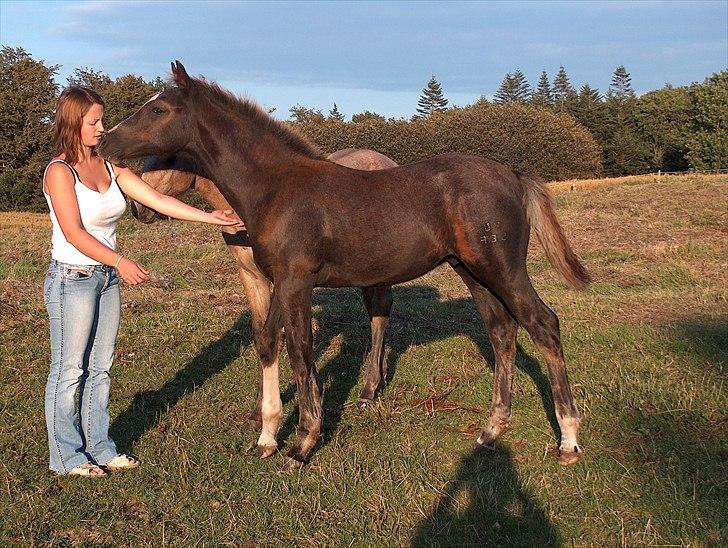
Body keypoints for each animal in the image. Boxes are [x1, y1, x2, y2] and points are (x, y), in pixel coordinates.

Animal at [136, 151, 398, 454]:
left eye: (168, 158)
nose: (137, 208)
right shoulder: (252, 277)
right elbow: (262, 335)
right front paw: (259, 414)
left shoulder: (283, 279)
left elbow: (281, 338)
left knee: (379, 318)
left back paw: (368, 391)